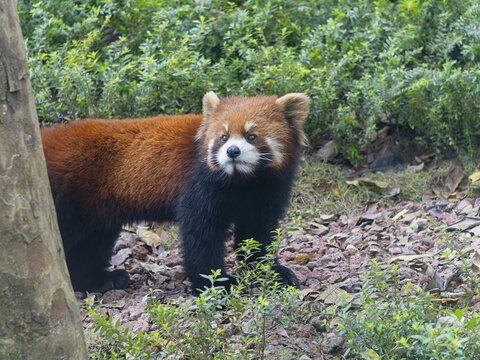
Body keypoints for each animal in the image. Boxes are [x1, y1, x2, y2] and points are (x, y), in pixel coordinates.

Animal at [42, 92, 312, 292]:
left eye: (252, 136)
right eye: (223, 137)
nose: (232, 152)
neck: (243, 182)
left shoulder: (266, 192)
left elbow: (256, 233)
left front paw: (271, 272)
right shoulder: (198, 186)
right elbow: (200, 237)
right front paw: (217, 283)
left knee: (88, 245)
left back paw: (98, 280)